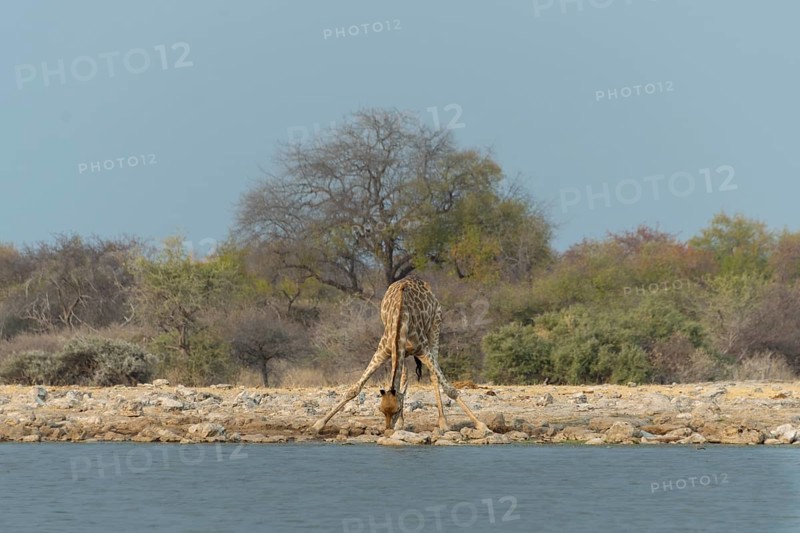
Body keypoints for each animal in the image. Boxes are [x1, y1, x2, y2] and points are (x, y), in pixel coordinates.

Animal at [310, 276, 489, 434]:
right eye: (381, 410)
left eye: (397, 410)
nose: (388, 430)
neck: (400, 322)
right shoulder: (383, 351)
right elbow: (354, 389)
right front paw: (318, 425)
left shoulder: (423, 349)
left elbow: (450, 389)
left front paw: (482, 426)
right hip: (405, 352)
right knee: (404, 378)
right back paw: (402, 424)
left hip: (435, 326)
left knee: (434, 375)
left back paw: (443, 423)